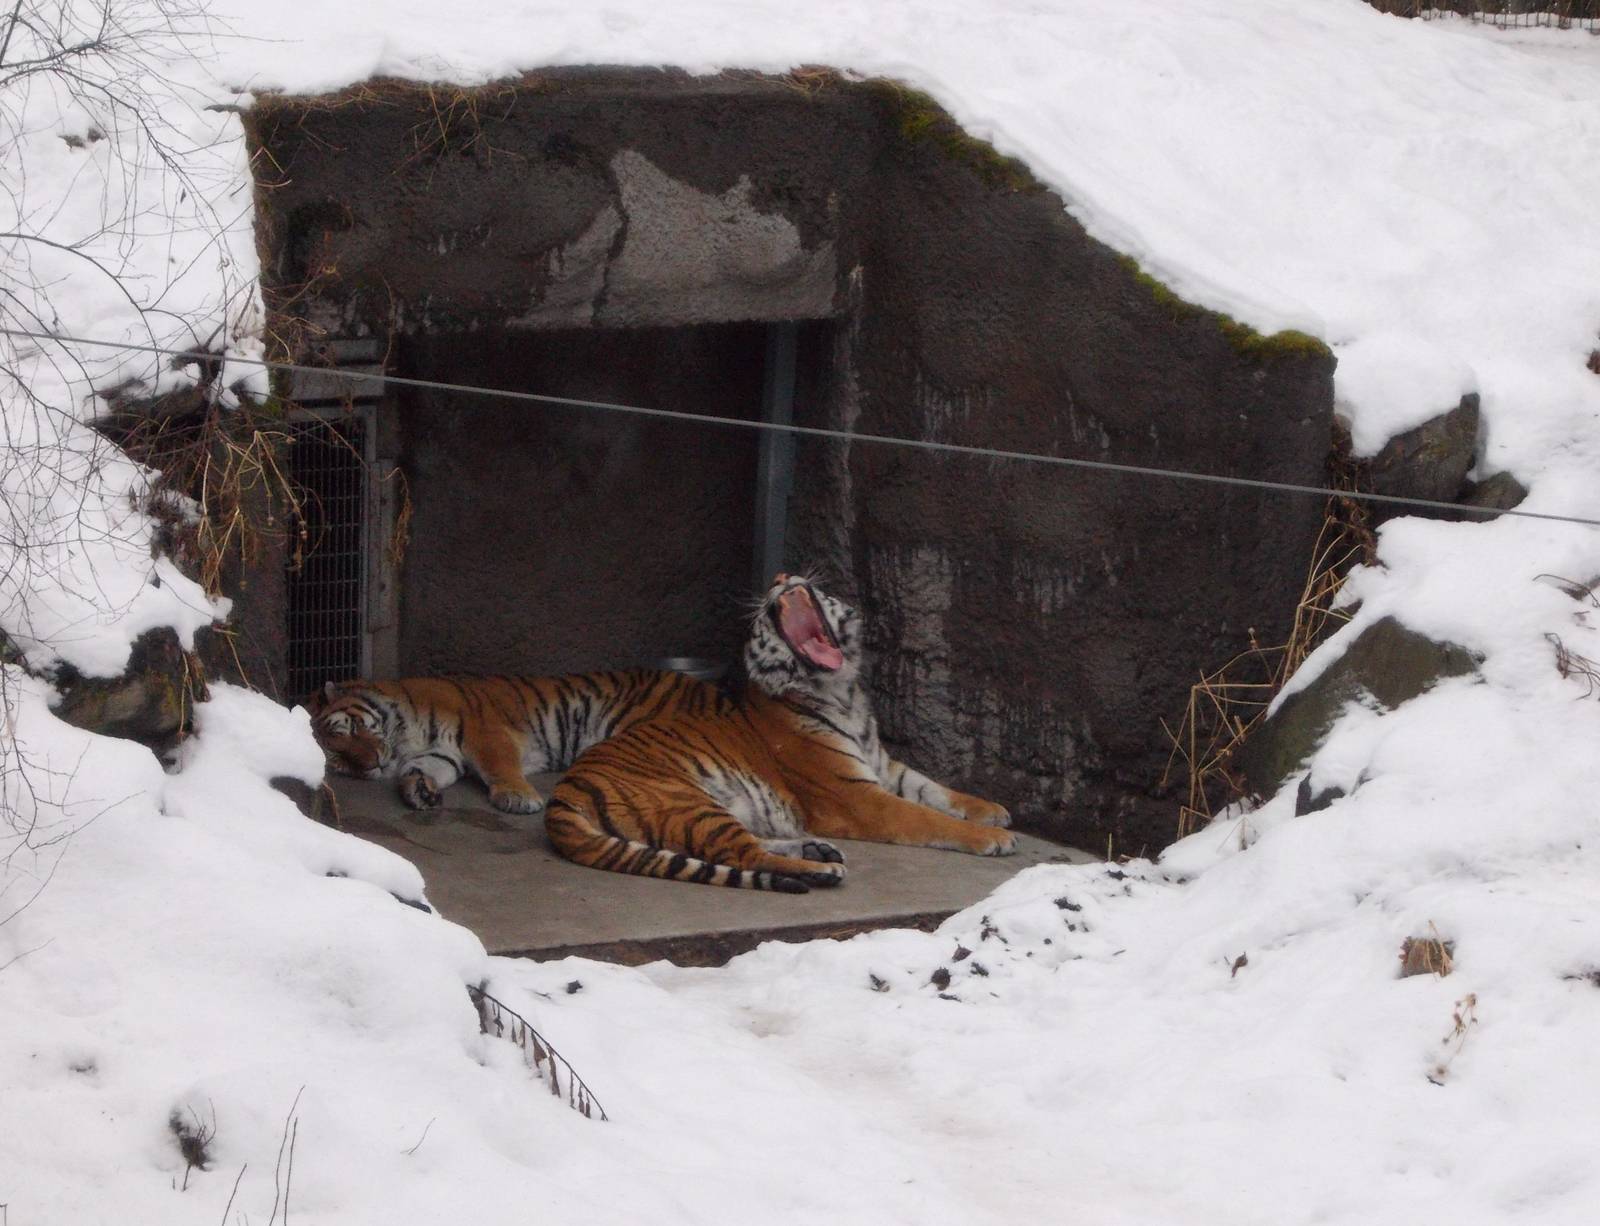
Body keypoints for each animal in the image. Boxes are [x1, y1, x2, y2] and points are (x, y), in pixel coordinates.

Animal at [306, 669, 724, 814]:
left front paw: (519, 798)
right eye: (339, 759)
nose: (373, 763)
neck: (402, 735)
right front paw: (419, 792)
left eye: (350, 730)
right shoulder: (442, 753)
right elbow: (423, 771)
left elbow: (499, 766)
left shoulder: (484, 730)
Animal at [543, 573, 1016, 893]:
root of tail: (563, 793)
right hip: (687, 801)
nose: (780, 577)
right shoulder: (860, 797)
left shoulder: (883, 766)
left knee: (750, 847)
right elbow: (928, 817)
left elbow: (936, 790)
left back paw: (816, 849)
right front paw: (994, 838)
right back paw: (821, 869)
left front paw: (992, 810)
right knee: (743, 853)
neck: (843, 692)